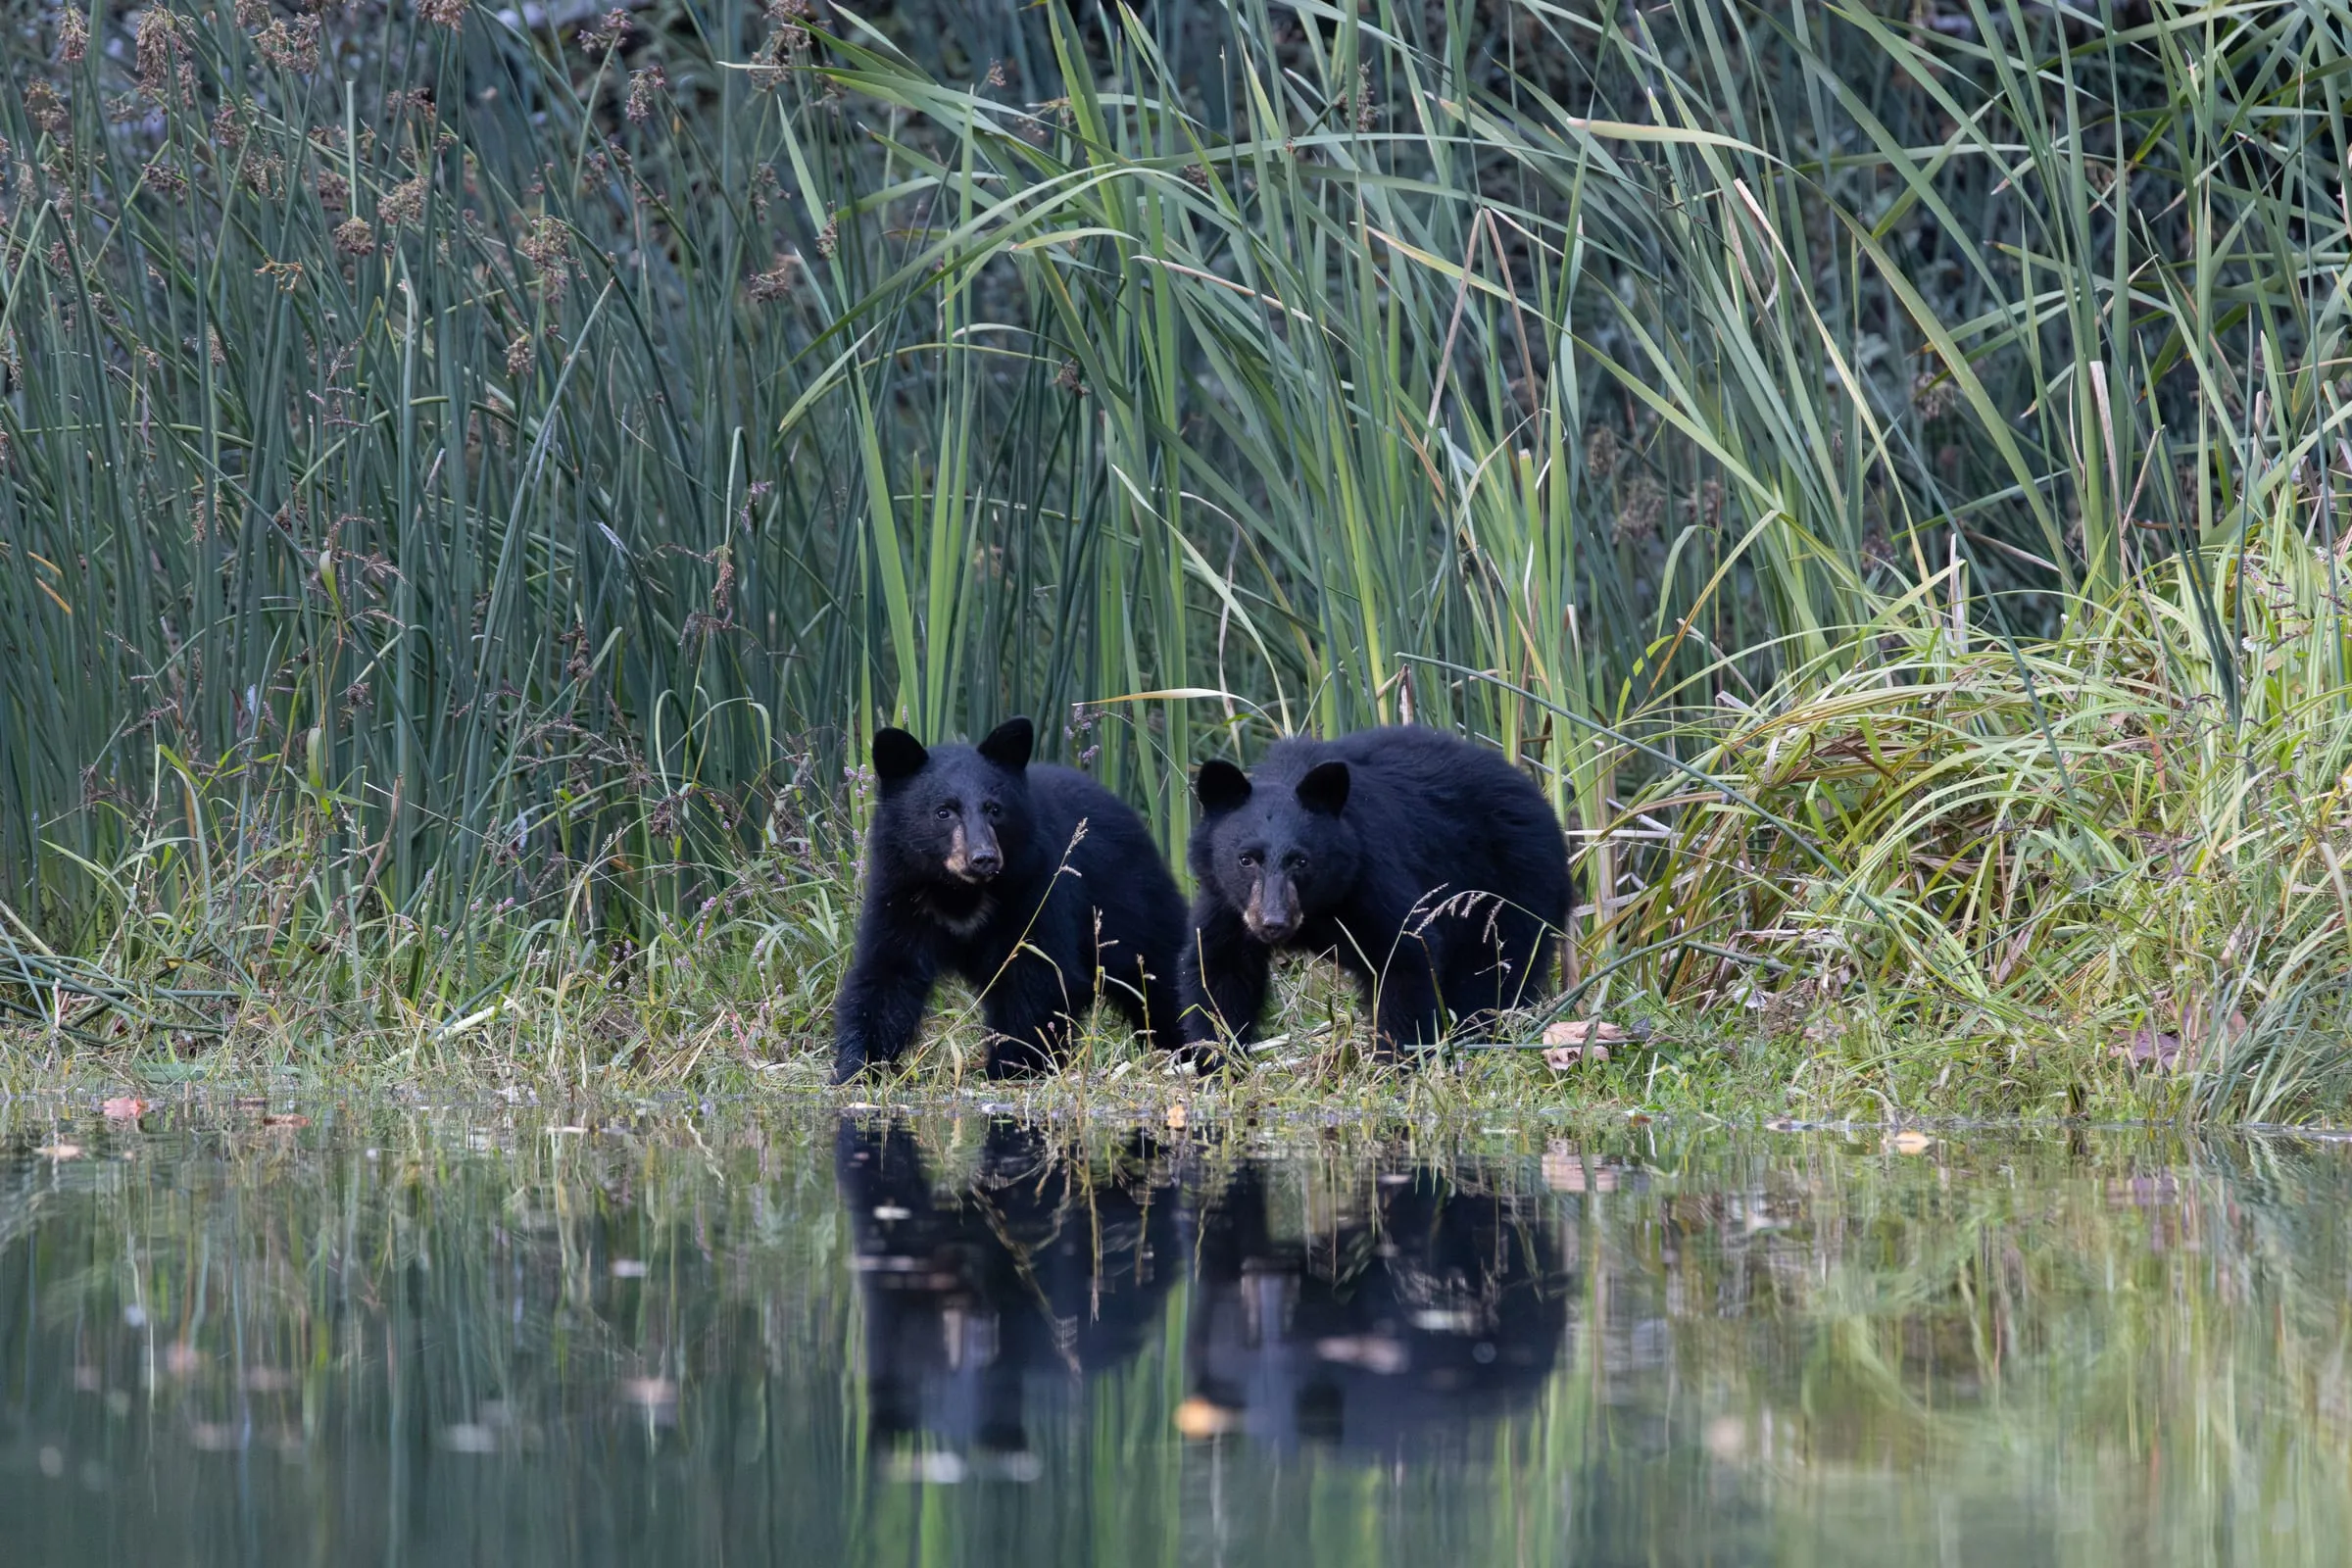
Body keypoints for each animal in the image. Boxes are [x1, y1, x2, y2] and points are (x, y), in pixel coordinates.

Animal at [832, 716, 1187, 1082]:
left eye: (994, 809)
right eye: (943, 812)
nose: (983, 858)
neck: (959, 892)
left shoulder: (1036, 889)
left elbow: (1036, 976)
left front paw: (1014, 1066)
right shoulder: (901, 896)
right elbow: (887, 976)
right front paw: (857, 1065)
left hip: (1133, 905)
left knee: (1163, 976)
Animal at [1178, 725, 1570, 1058]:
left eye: (1301, 861)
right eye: (1246, 859)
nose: (1273, 922)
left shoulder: (1370, 877)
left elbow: (1406, 954)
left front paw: (1395, 1060)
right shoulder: (1227, 901)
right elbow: (1218, 969)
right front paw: (1214, 1058)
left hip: (1510, 887)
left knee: (1494, 970)